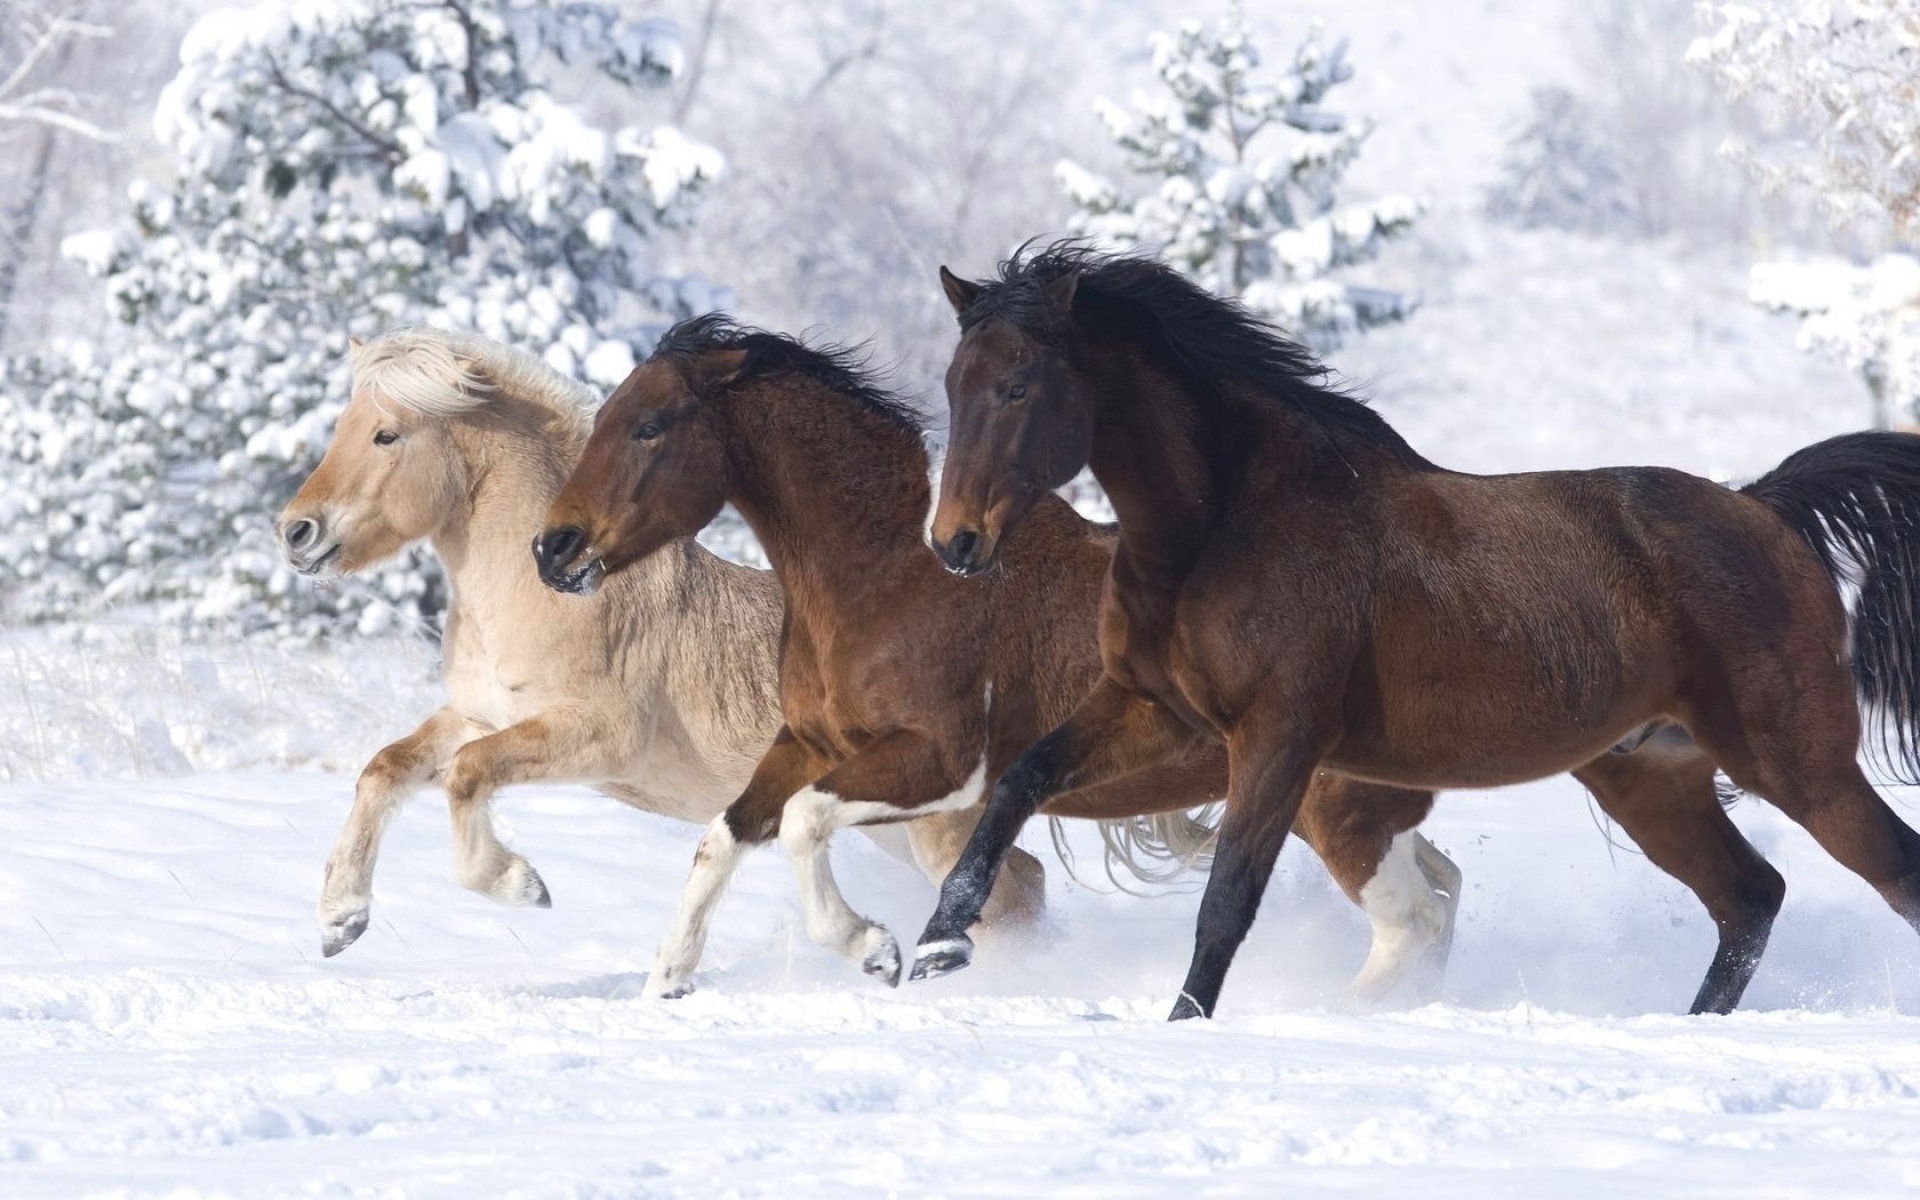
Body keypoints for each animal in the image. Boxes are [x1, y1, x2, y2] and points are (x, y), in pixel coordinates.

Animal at [275, 326, 1051, 958]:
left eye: (387, 435)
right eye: (344, 426)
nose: (295, 532)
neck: (542, 594)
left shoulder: (597, 735)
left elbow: (467, 774)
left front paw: (522, 885)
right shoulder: (480, 714)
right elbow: (386, 768)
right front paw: (340, 920)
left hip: (933, 825)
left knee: (1009, 896)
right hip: (892, 823)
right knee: (1026, 881)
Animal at [533, 313, 1464, 1002]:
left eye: (649, 427)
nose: (552, 548)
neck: (886, 573)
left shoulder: (941, 763)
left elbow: (801, 824)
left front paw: (876, 949)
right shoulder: (807, 743)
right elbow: (723, 837)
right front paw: (668, 979)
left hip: (1332, 807)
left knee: (1413, 920)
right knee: (1440, 892)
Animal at [915, 242, 1920, 1020]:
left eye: (1016, 386)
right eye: (954, 384)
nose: (954, 543)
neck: (1224, 523)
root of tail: (1765, 509)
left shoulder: (1279, 737)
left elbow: (1226, 900)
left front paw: (1181, 1027)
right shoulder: (1153, 709)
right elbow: (1018, 783)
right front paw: (936, 947)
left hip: (1797, 762)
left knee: (1887, 873)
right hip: (1652, 776)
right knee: (1750, 899)